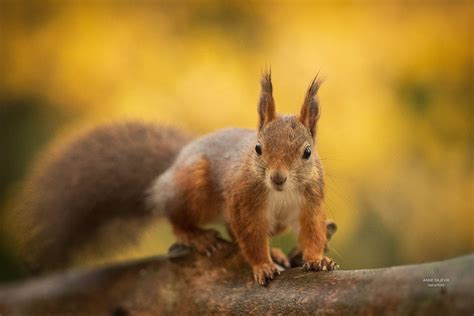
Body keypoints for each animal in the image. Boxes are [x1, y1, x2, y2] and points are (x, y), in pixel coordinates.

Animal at [10, 71, 336, 286]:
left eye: (307, 152)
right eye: (258, 148)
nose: (278, 178)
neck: (281, 193)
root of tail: (173, 166)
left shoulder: (311, 201)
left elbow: (312, 231)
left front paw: (316, 258)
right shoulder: (244, 201)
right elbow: (251, 237)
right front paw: (263, 265)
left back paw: (277, 251)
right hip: (192, 187)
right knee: (176, 216)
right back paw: (196, 236)